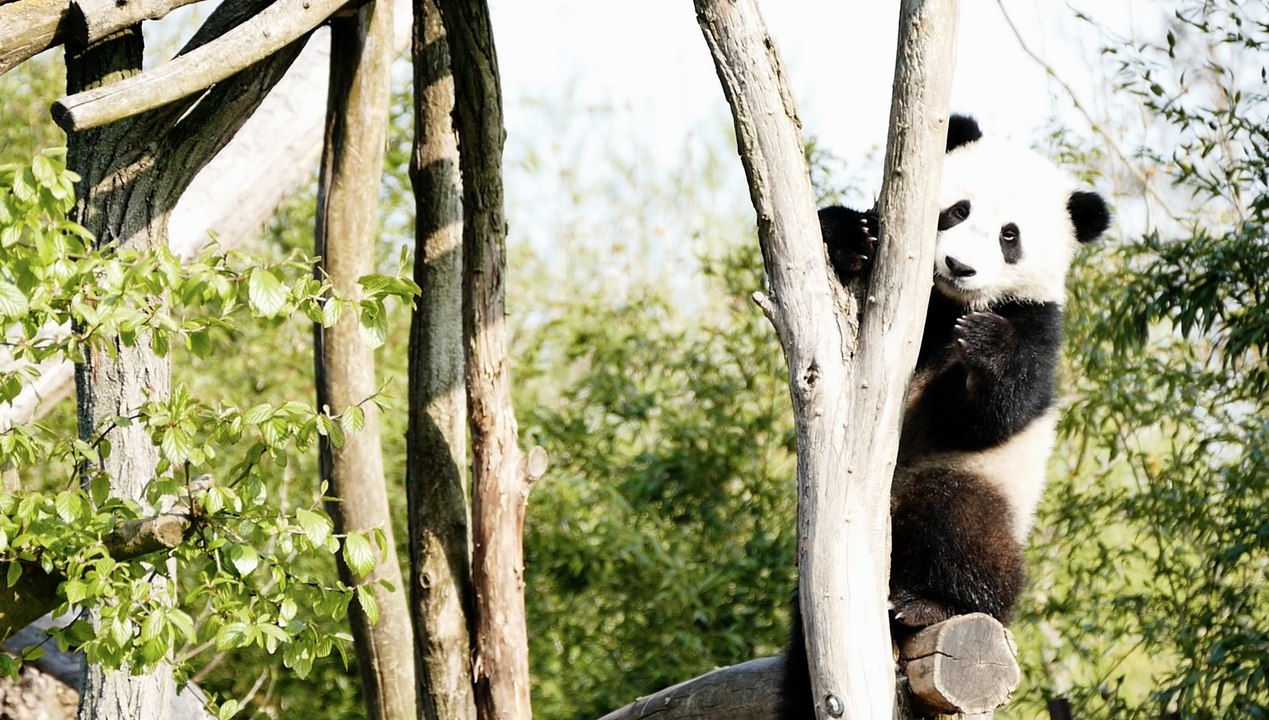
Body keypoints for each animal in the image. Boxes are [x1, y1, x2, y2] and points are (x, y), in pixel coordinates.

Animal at [778, 114, 1111, 719]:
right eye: (957, 210)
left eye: (1009, 236)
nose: (959, 266)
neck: (950, 302)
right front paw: (852, 236)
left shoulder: (1039, 324)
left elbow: (996, 412)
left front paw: (985, 344)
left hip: (982, 488)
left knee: (962, 526)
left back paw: (932, 605)